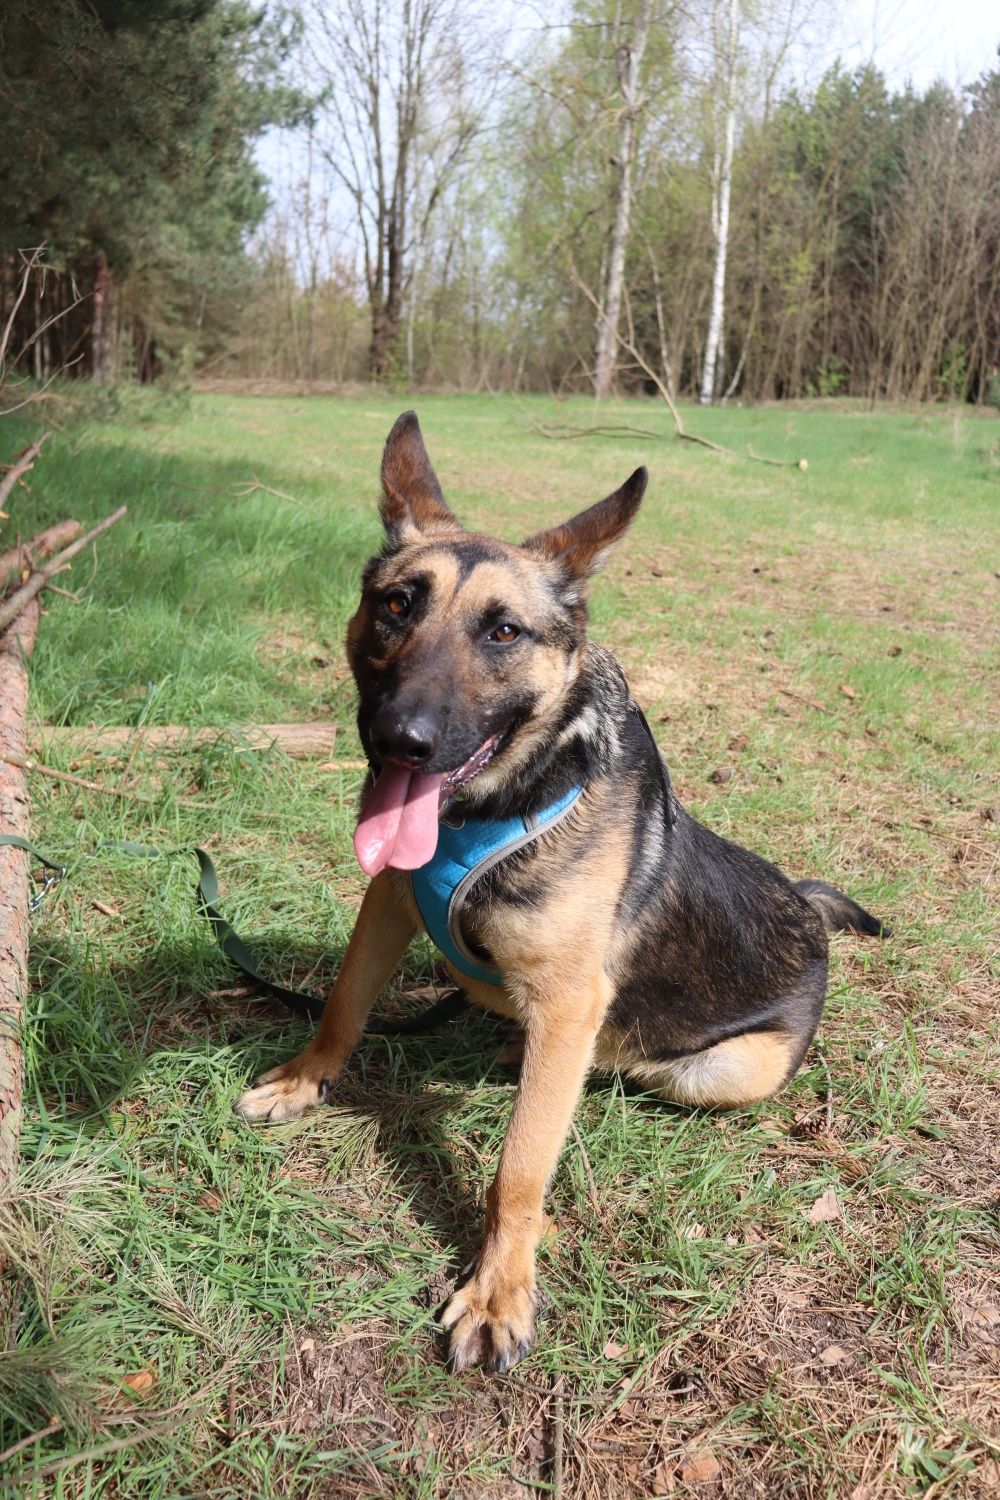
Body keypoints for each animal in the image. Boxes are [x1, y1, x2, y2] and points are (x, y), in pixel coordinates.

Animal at [236, 411, 893, 1374]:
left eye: (504, 632)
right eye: (397, 604)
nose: (400, 740)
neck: (501, 799)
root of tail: (806, 912)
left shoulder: (568, 999)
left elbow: (518, 1169)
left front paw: (499, 1289)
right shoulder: (389, 901)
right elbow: (343, 1005)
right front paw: (304, 1081)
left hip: (724, 1070)